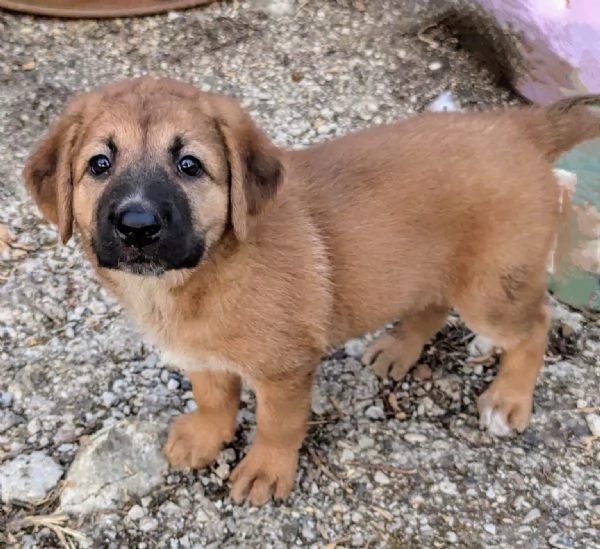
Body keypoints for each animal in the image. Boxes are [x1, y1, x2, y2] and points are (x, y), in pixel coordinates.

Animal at [23, 78, 600, 506]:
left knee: (535, 327)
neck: (204, 273)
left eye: (189, 165)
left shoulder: (284, 368)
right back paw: (399, 348)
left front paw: (265, 470)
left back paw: (508, 400)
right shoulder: (202, 355)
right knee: (433, 303)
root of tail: (517, 124)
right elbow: (213, 397)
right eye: (99, 165)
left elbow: (277, 424)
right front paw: (207, 436)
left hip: (491, 290)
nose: (137, 225)